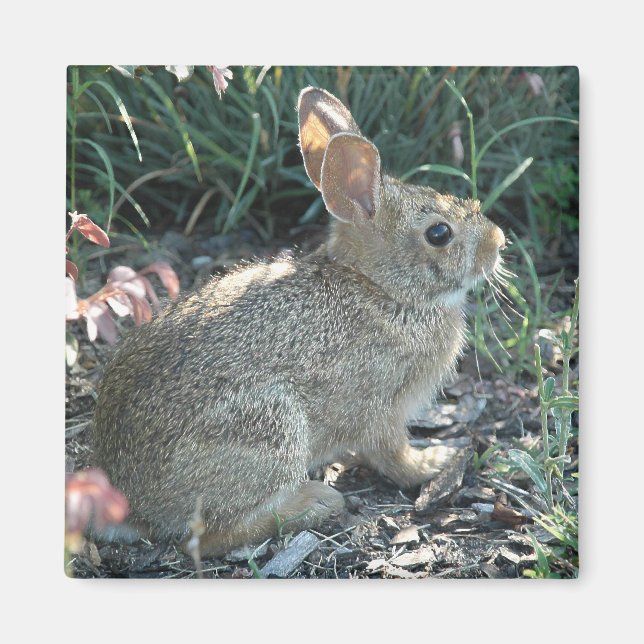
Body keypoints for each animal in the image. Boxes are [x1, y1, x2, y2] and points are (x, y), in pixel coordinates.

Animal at [89, 86, 506, 558]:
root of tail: (131, 503)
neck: (380, 289)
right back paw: (316, 502)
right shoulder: (382, 405)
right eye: (439, 234)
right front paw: (432, 463)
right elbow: (392, 454)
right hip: (270, 427)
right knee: (208, 538)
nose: (499, 242)